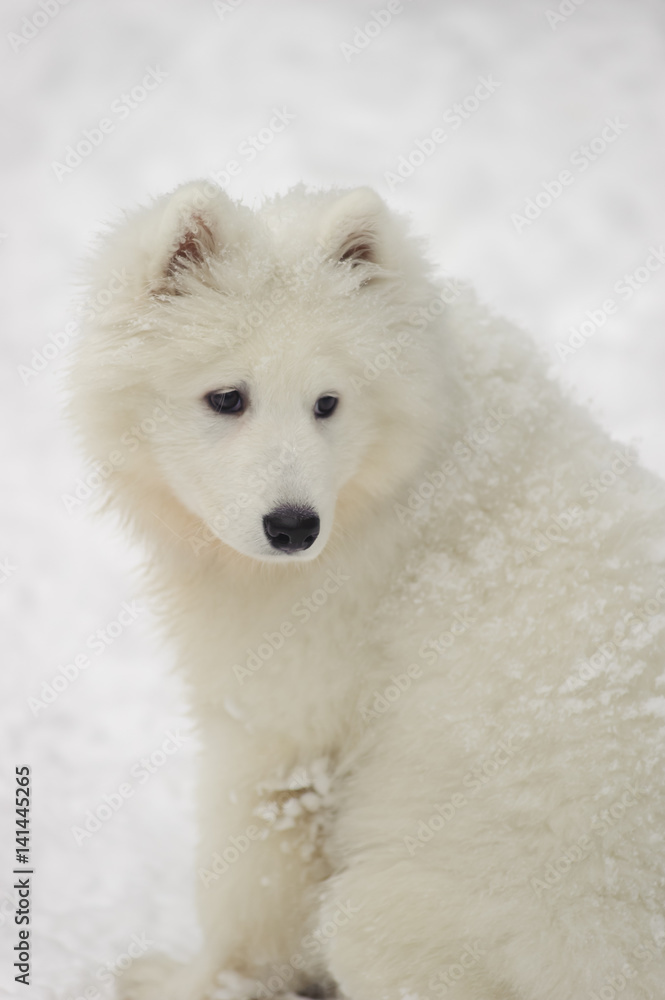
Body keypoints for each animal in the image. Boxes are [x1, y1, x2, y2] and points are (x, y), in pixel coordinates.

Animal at [68, 182, 664, 1000]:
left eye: (328, 401)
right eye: (227, 396)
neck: (397, 479)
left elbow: (254, 856)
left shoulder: (296, 687)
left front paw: (183, 979)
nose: (292, 526)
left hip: (412, 910)